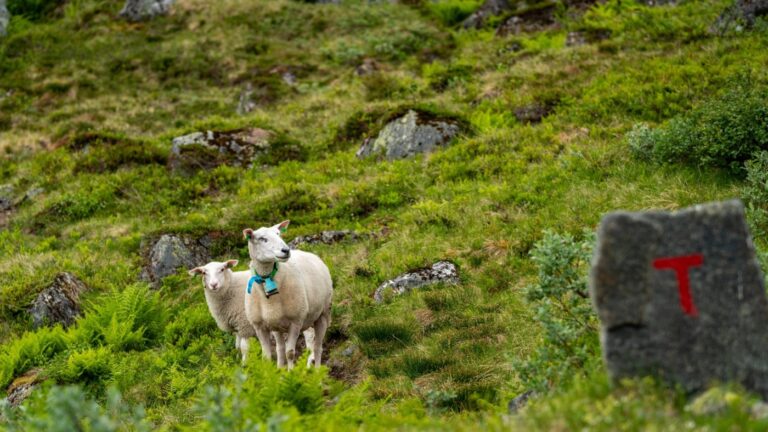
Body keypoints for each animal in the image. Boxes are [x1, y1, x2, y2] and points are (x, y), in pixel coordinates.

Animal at [242, 220, 333, 369]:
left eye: (279, 234)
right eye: (262, 239)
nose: (286, 250)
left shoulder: (295, 322)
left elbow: (290, 353)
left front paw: (291, 372)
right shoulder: (259, 327)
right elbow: (267, 356)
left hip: (323, 314)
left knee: (318, 347)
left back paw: (318, 371)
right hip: (276, 325)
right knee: (280, 348)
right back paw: (280, 368)